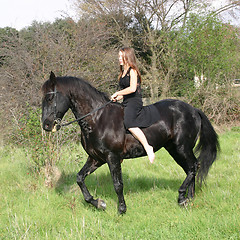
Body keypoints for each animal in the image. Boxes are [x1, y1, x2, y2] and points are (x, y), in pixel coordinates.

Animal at [41, 71, 219, 214]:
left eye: (50, 97)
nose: (46, 125)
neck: (97, 119)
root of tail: (193, 110)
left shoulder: (112, 157)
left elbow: (118, 184)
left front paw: (121, 209)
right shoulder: (96, 159)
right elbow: (79, 178)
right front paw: (98, 203)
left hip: (181, 148)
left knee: (193, 166)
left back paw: (182, 197)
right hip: (174, 149)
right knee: (190, 169)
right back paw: (190, 198)